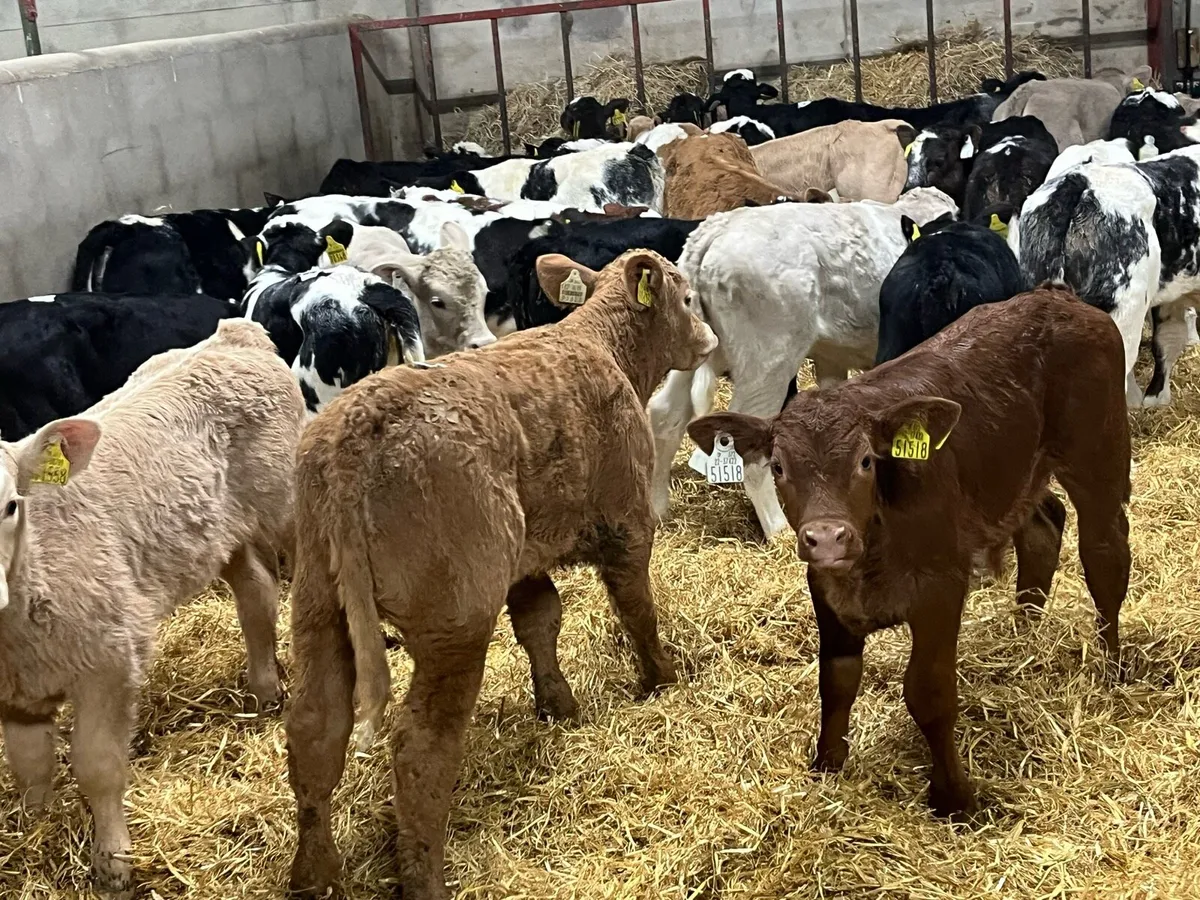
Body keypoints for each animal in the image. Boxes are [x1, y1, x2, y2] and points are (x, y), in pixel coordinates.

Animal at [0, 319, 304, 891]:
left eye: (10, 505)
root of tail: (234, 332)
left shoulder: (110, 657)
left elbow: (97, 764)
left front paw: (113, 861)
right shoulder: (16, 690)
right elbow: (29, 768)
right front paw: (37, 831)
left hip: (287, 497)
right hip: (220, 531)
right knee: (256, 591)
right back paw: (264, 690)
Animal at [284, 249, 718, 899]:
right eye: (687, 298)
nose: (710, 338)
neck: (602, 349)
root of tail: (357, 426)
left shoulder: (525, 561)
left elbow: (541, 621)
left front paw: (558, 706)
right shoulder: (628, 522)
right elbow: (637, 611)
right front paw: (661, 681)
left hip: (317, 606)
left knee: (315, 732)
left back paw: (314, 876)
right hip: (455, 622)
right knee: (419, 749)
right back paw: (426, 879)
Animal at [648, 187, 959, 539]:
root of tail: (716, 228)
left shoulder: (834, 361)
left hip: (695, 354)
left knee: (665, 416)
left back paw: (658, 510)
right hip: (768, 363)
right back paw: (779, 531)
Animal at [688, 287, 1130, 817]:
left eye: (865, 461)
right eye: (777, 466)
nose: (828, 537)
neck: (870, 561)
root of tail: (1052, 295)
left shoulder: (941, 588)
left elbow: (928, 692)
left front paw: (953, 798)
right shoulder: (826, 590)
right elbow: (836, 681)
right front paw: (826, 767)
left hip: (1098, 456)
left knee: (1105, 554)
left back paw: (1111, 668)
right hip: (1018, 473)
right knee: (1044, 524)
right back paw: (1023, 635)